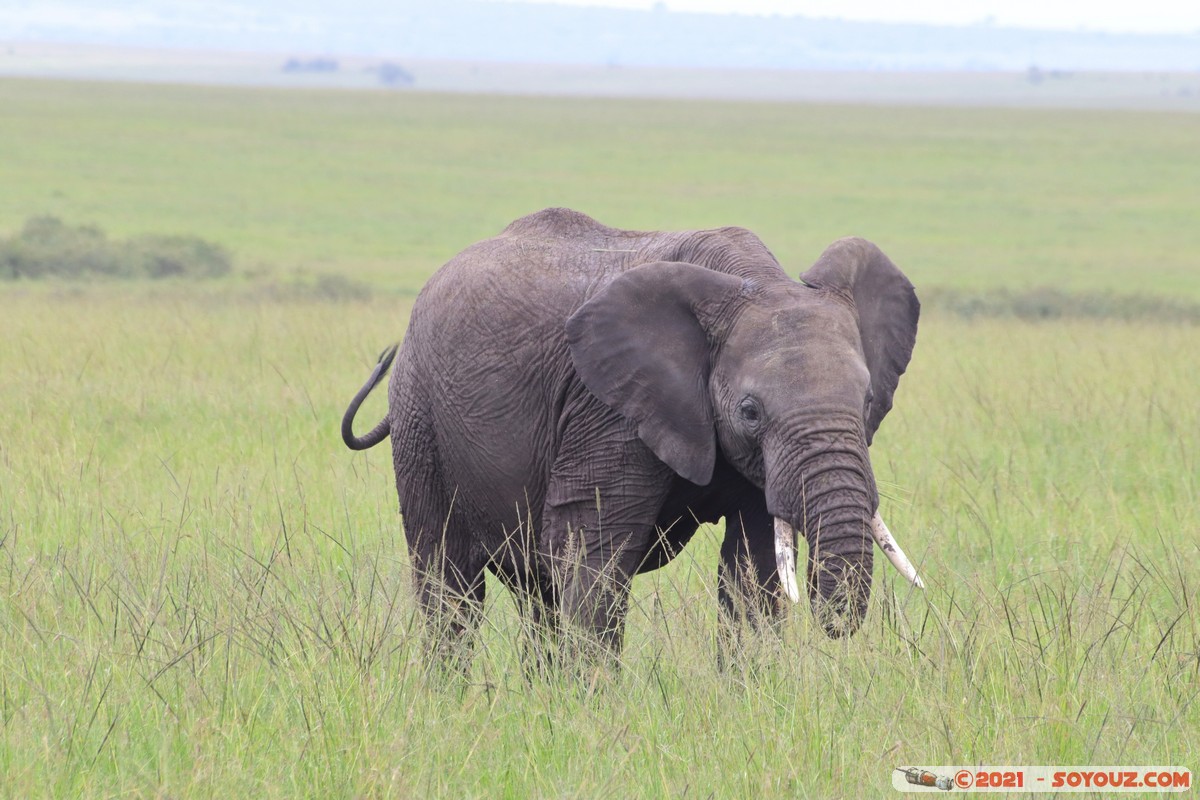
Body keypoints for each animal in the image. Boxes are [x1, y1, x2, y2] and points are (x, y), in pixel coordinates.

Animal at [343, 205, 921, 662]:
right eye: (750, 411)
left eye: (868, 402)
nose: (836, 623)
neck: (751, 279)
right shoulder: (607, 407)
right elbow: (594, 553)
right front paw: (588, 713)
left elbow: (753, 567)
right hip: (419, 418)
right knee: (451, 584)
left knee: (537, 593)